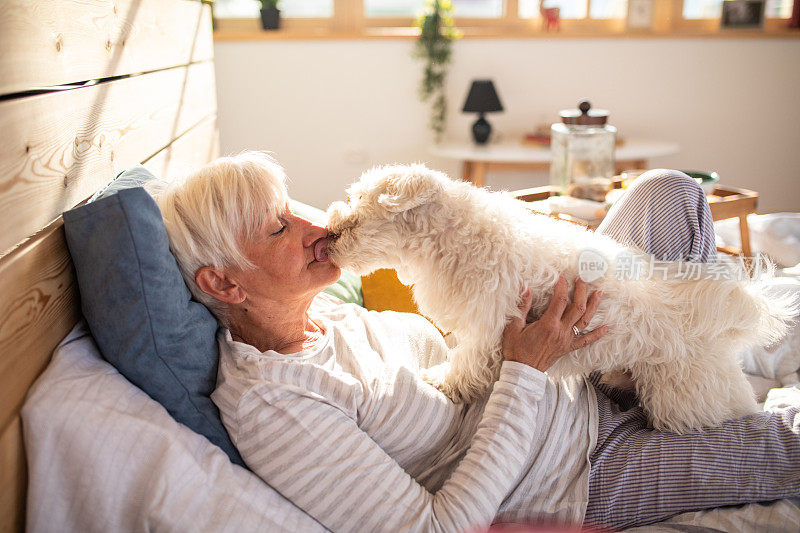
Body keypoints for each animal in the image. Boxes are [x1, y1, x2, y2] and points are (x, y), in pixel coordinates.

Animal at [324, 163, 792, 432]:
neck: (451, 237)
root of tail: (720, 319)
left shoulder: (487, 322)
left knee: (737, 409)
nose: (329, 231)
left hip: (686, 395)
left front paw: (444, 384)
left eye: (358, 208)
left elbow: (467, 363)